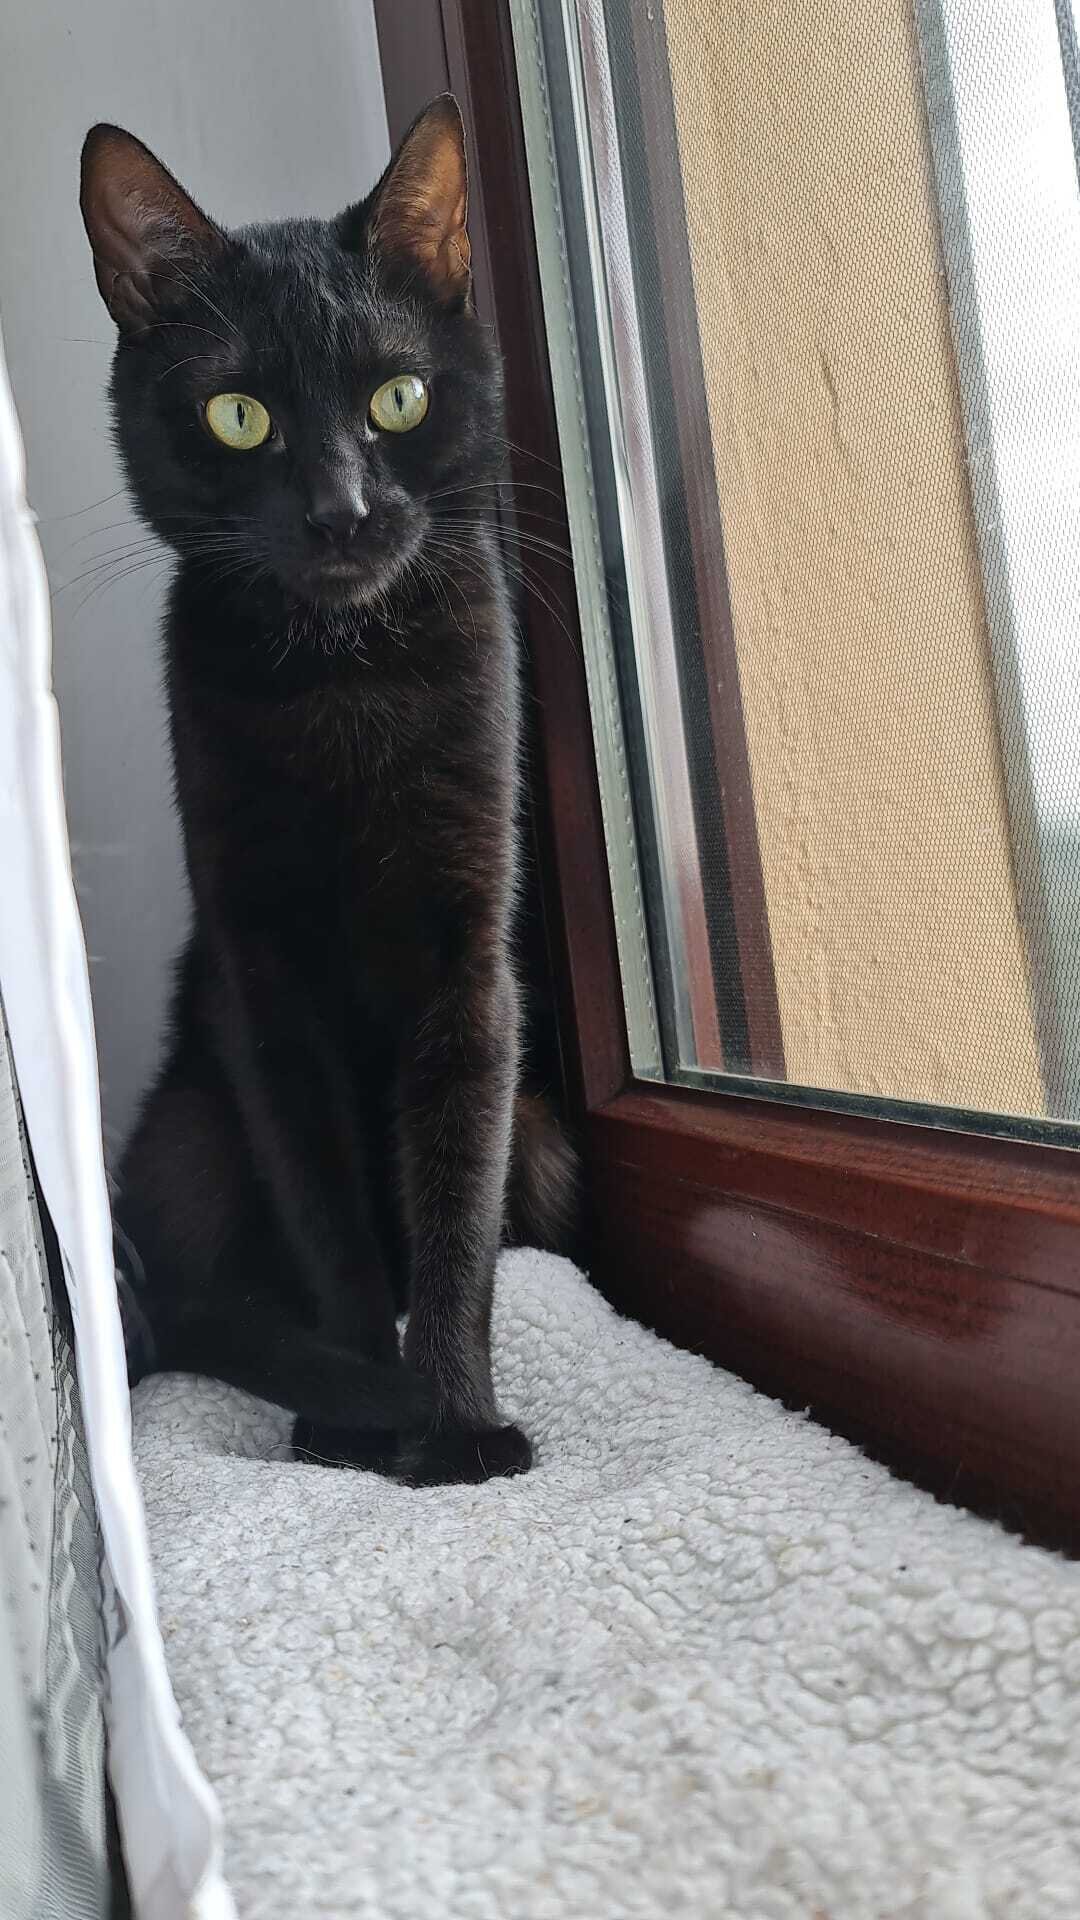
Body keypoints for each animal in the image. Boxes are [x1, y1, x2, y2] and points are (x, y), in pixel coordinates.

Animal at [79, 101, 576, 1482]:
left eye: (397, 398)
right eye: (239, 416)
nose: (344, 511)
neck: (343, 677)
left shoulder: (470, 971)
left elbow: (453, 1212)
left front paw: (455, 1423)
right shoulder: (265, 980)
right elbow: (325, 1210)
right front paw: (361, 1419)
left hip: (545, 1135)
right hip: (192, 1132)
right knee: (198, 1290)